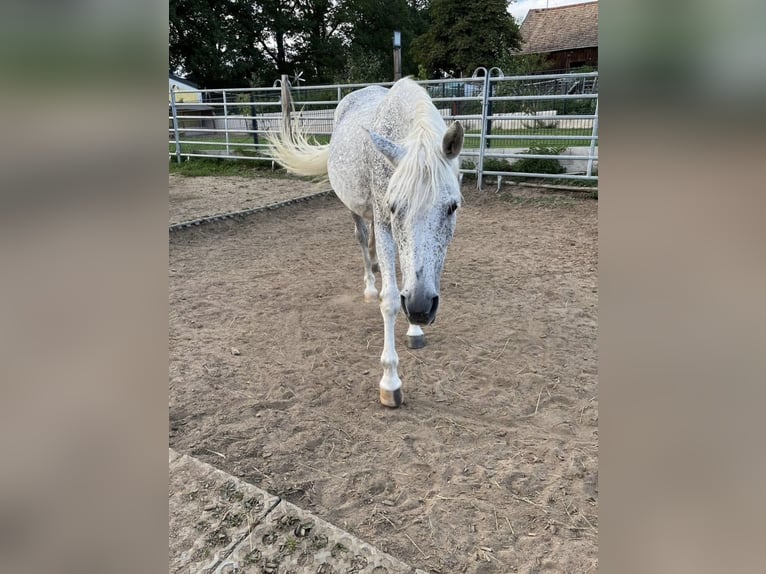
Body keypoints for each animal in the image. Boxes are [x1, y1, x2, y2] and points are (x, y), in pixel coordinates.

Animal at [268, 77, 464, 410]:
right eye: (395, 207)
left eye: (452, 207)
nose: (420, 308)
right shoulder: (385, 221)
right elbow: (391, 299)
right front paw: (390, 382)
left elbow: (408, 278)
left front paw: (414, 330)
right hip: (355, 208)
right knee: (363, 241)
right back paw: (370, 285)